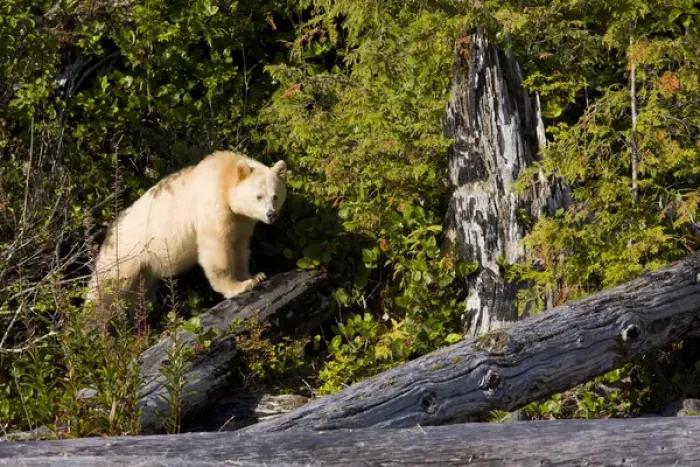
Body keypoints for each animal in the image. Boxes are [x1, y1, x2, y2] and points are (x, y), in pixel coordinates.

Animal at [87, 150, 287, 312]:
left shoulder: (242, 219)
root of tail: (110, 232)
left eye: (275, 196)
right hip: (124, 253)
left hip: (144, 266)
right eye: (258, 196)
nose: (271, 214)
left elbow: (240, 246)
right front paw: (238, 287)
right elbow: (216, 246)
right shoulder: (212, 204)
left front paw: (255, 276)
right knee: (106, 287)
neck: (224, 174)